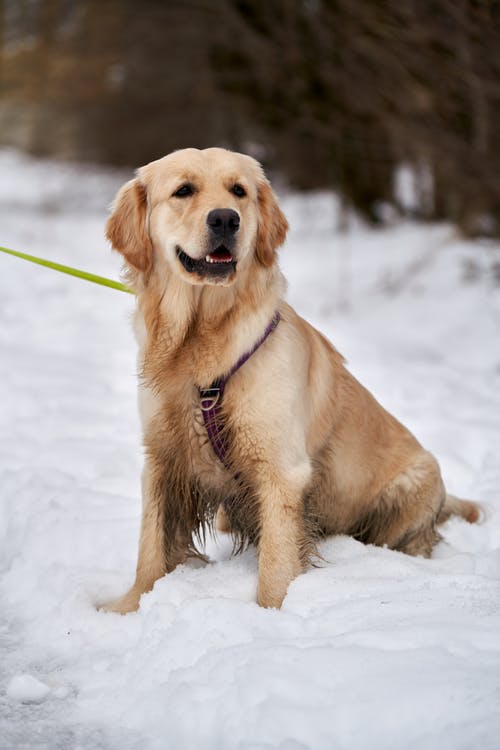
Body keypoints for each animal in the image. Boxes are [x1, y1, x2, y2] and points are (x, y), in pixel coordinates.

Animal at [102, 148, 480, 616]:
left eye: (239, 191)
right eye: (183, 190)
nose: (225, 219)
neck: (203, 336)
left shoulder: (281, 471)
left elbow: (276, 565)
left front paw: (270, 615)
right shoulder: (162, 457)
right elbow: (151, 547)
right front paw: (129, 606)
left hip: (414, 483)